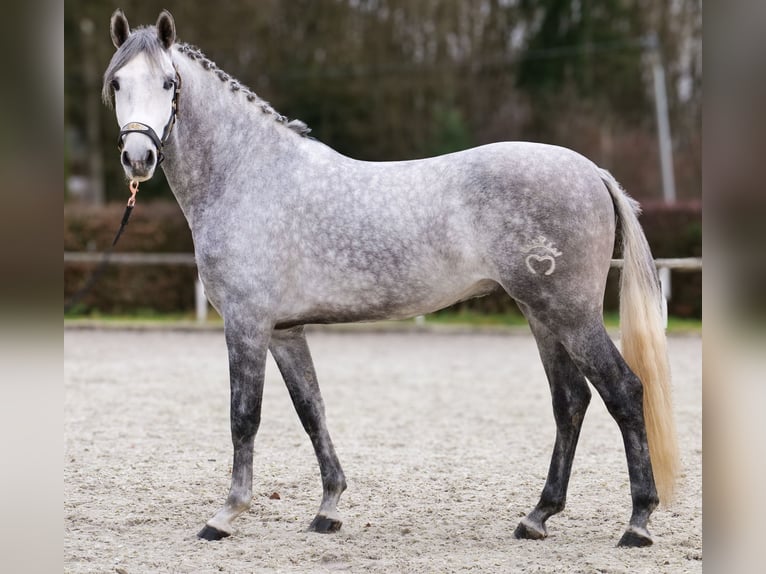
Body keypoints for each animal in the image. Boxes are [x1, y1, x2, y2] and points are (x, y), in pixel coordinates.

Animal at [103, 9, 679, 547]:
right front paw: (329, 508)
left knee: (624, 390)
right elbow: (311, 410)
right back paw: (537, 516)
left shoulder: (247, 324)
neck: (247, 176)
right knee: (570, 402)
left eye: (168, 83)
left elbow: (245, 415)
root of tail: (593, 173)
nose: (139, 157)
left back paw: (638, 522)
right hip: (541, 315)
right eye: (116, 83)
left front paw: (225, 515)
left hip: (571, 314)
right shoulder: (285, 331)